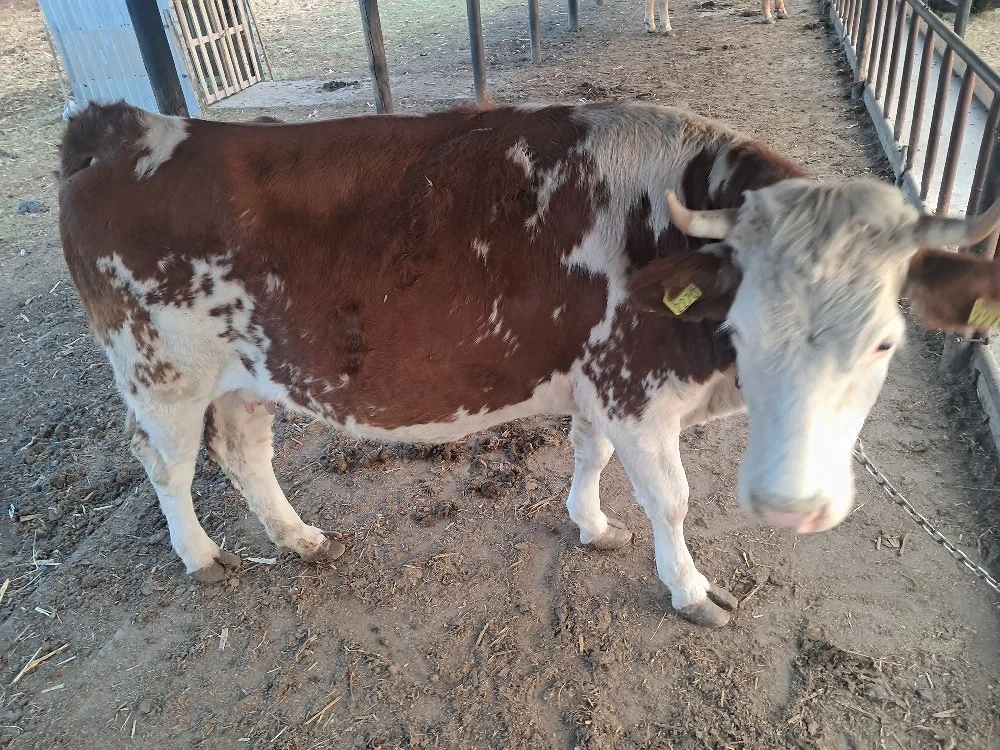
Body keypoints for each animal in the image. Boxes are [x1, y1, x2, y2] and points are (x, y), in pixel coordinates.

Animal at [58, 100, 1000, 627]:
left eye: (885, 342)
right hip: (158, 372)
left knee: (244, 451)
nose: (791, 508)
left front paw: (590, 523)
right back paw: (200, 555)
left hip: (248, 372)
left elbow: (590, 456)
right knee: (167, 464)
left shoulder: (600, 386)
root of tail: (128, 126)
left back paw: (297, 538)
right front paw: (690, 590)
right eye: (745, 326)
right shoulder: (633, 387)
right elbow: (672, 499)